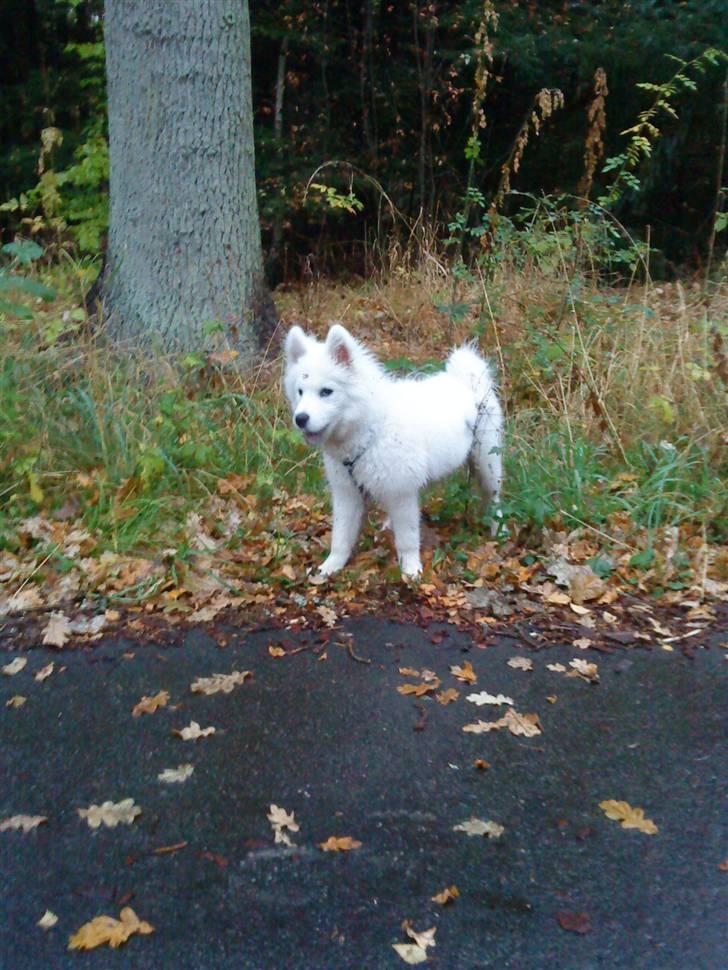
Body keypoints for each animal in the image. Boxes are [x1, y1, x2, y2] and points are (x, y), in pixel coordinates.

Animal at [282, 322, 504, 576]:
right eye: (300, 391)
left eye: (326, 392)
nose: (300, 419)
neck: (370, 429)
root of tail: (466, 379)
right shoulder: (348, 493)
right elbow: (341, 536)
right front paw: (331, 567)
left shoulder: (402, 493)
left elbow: (407, 538)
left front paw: (411, 570)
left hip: (487, 463)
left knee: (495, 500)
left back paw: (498, 531)